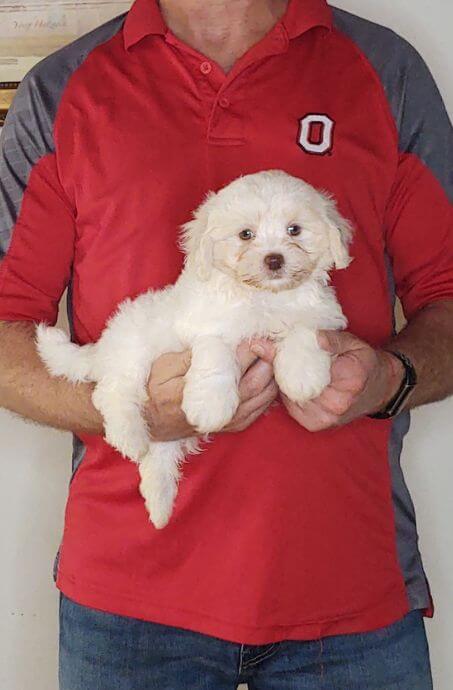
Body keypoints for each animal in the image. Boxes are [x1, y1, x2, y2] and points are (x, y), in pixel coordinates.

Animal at [37, 171, 352, 528]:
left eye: (294, 230)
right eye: (245, 235)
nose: (274, 259)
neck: (263, 297)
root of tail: (104, 347)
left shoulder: (320, 315)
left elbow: (304, 330)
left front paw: (302, 376)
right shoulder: (207, 327)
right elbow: (215, 358)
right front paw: (211, 405)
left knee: (158, 457)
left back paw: (159, 502)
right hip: (132, 356)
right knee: (114, 395)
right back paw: (130, 437)